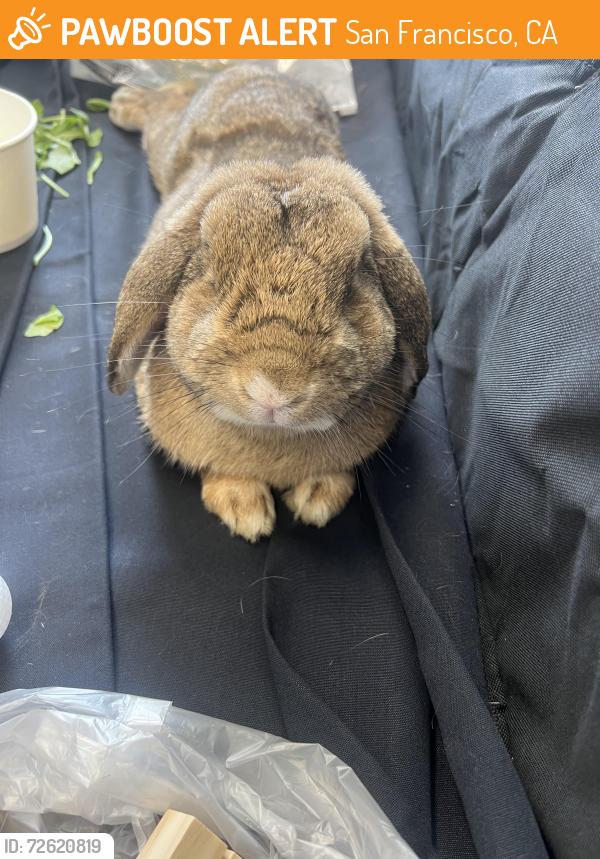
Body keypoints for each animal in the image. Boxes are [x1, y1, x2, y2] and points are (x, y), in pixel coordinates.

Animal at [107, 65, 431, 542]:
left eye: (354, 279)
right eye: (211, 275)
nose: (274, 389)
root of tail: (254, 67)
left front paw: (318, 500)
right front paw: (245, 512)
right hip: (166, 144)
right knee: (163, 106)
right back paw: (125, 103)